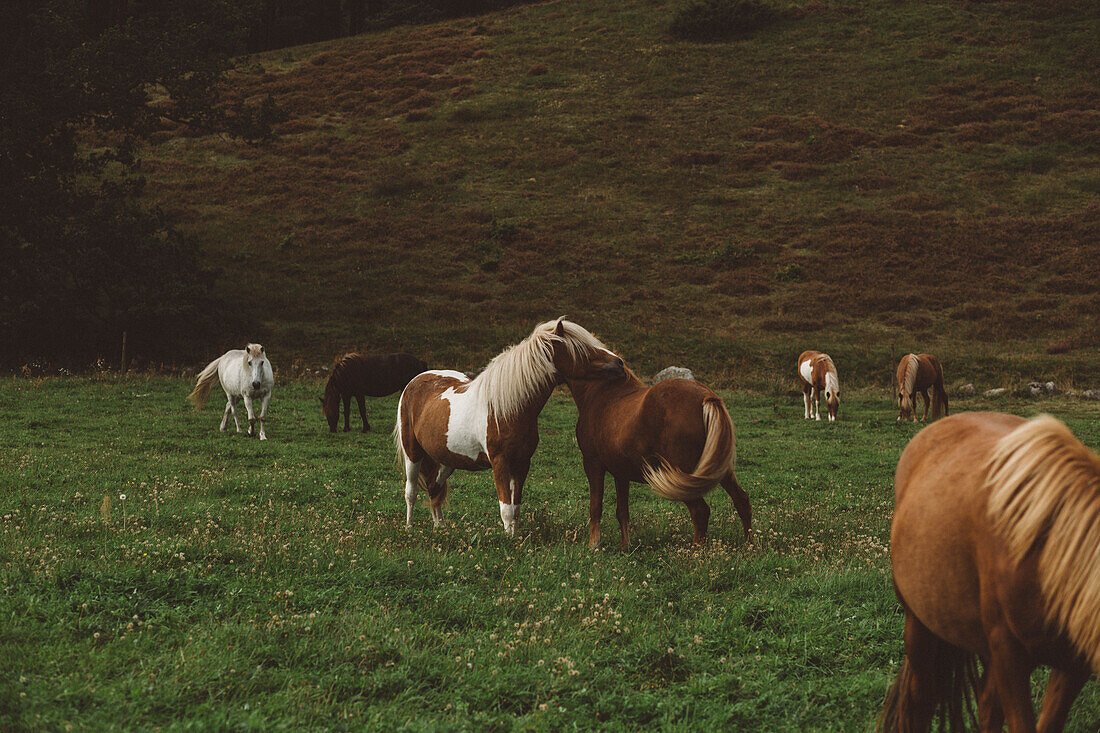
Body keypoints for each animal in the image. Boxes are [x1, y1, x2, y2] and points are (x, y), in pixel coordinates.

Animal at [396, 316, 624, 534]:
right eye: (582, 348)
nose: (619, 363)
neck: (507, 409)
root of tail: (417, 379)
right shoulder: (500, 463)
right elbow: (505, 509)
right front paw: (507, 540)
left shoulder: (522, 463)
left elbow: (516, 508)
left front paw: (514, 538)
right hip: (412, 452)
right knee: (411, 491)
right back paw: (409, 528)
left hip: (447, 458)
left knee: (434, 488)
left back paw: (440, 527)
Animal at [563, 354, 752, 548]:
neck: (600, 392)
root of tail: (706, 397)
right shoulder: (620, 471)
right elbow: (622, 510)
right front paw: (625, 547)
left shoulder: (592, 463)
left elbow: (595, 506)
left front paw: (594, 545)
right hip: (718, 469)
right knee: (742, 500)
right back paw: (749, 544)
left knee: (700, 511)